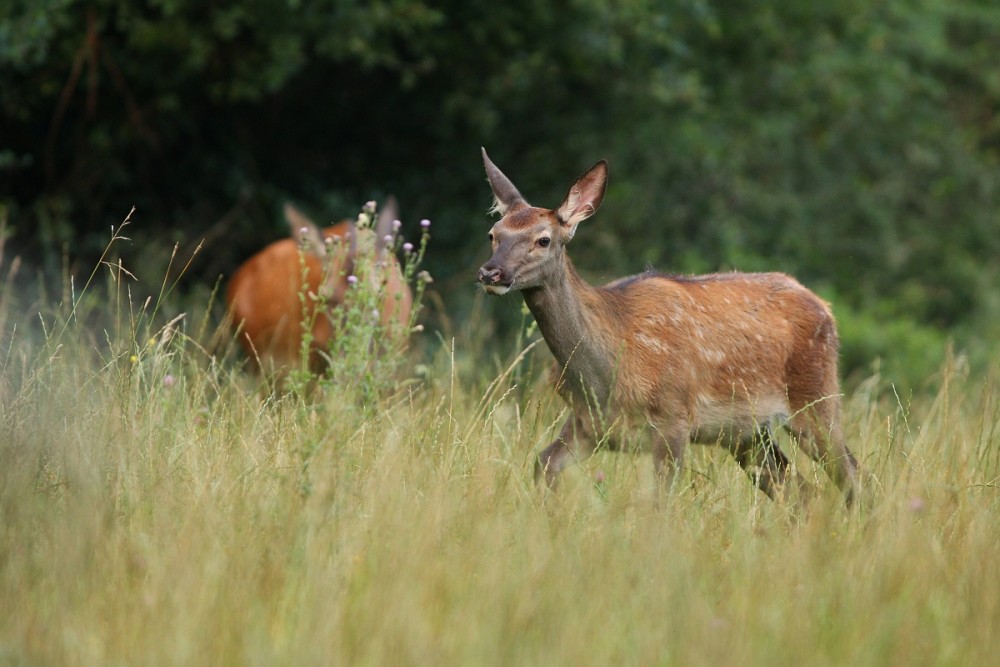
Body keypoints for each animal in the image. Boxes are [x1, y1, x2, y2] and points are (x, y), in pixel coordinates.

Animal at [474, 150, 860, 506]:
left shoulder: (673, 419)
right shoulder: (587, 423)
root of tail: (825, 308)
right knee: (799, 490)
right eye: (493, 234)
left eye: (543, 239)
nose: (491, 272)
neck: (604, 375)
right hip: (746, 434)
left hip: (816, 398)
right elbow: (542, 464)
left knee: (852, 473)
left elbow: (660, 504)